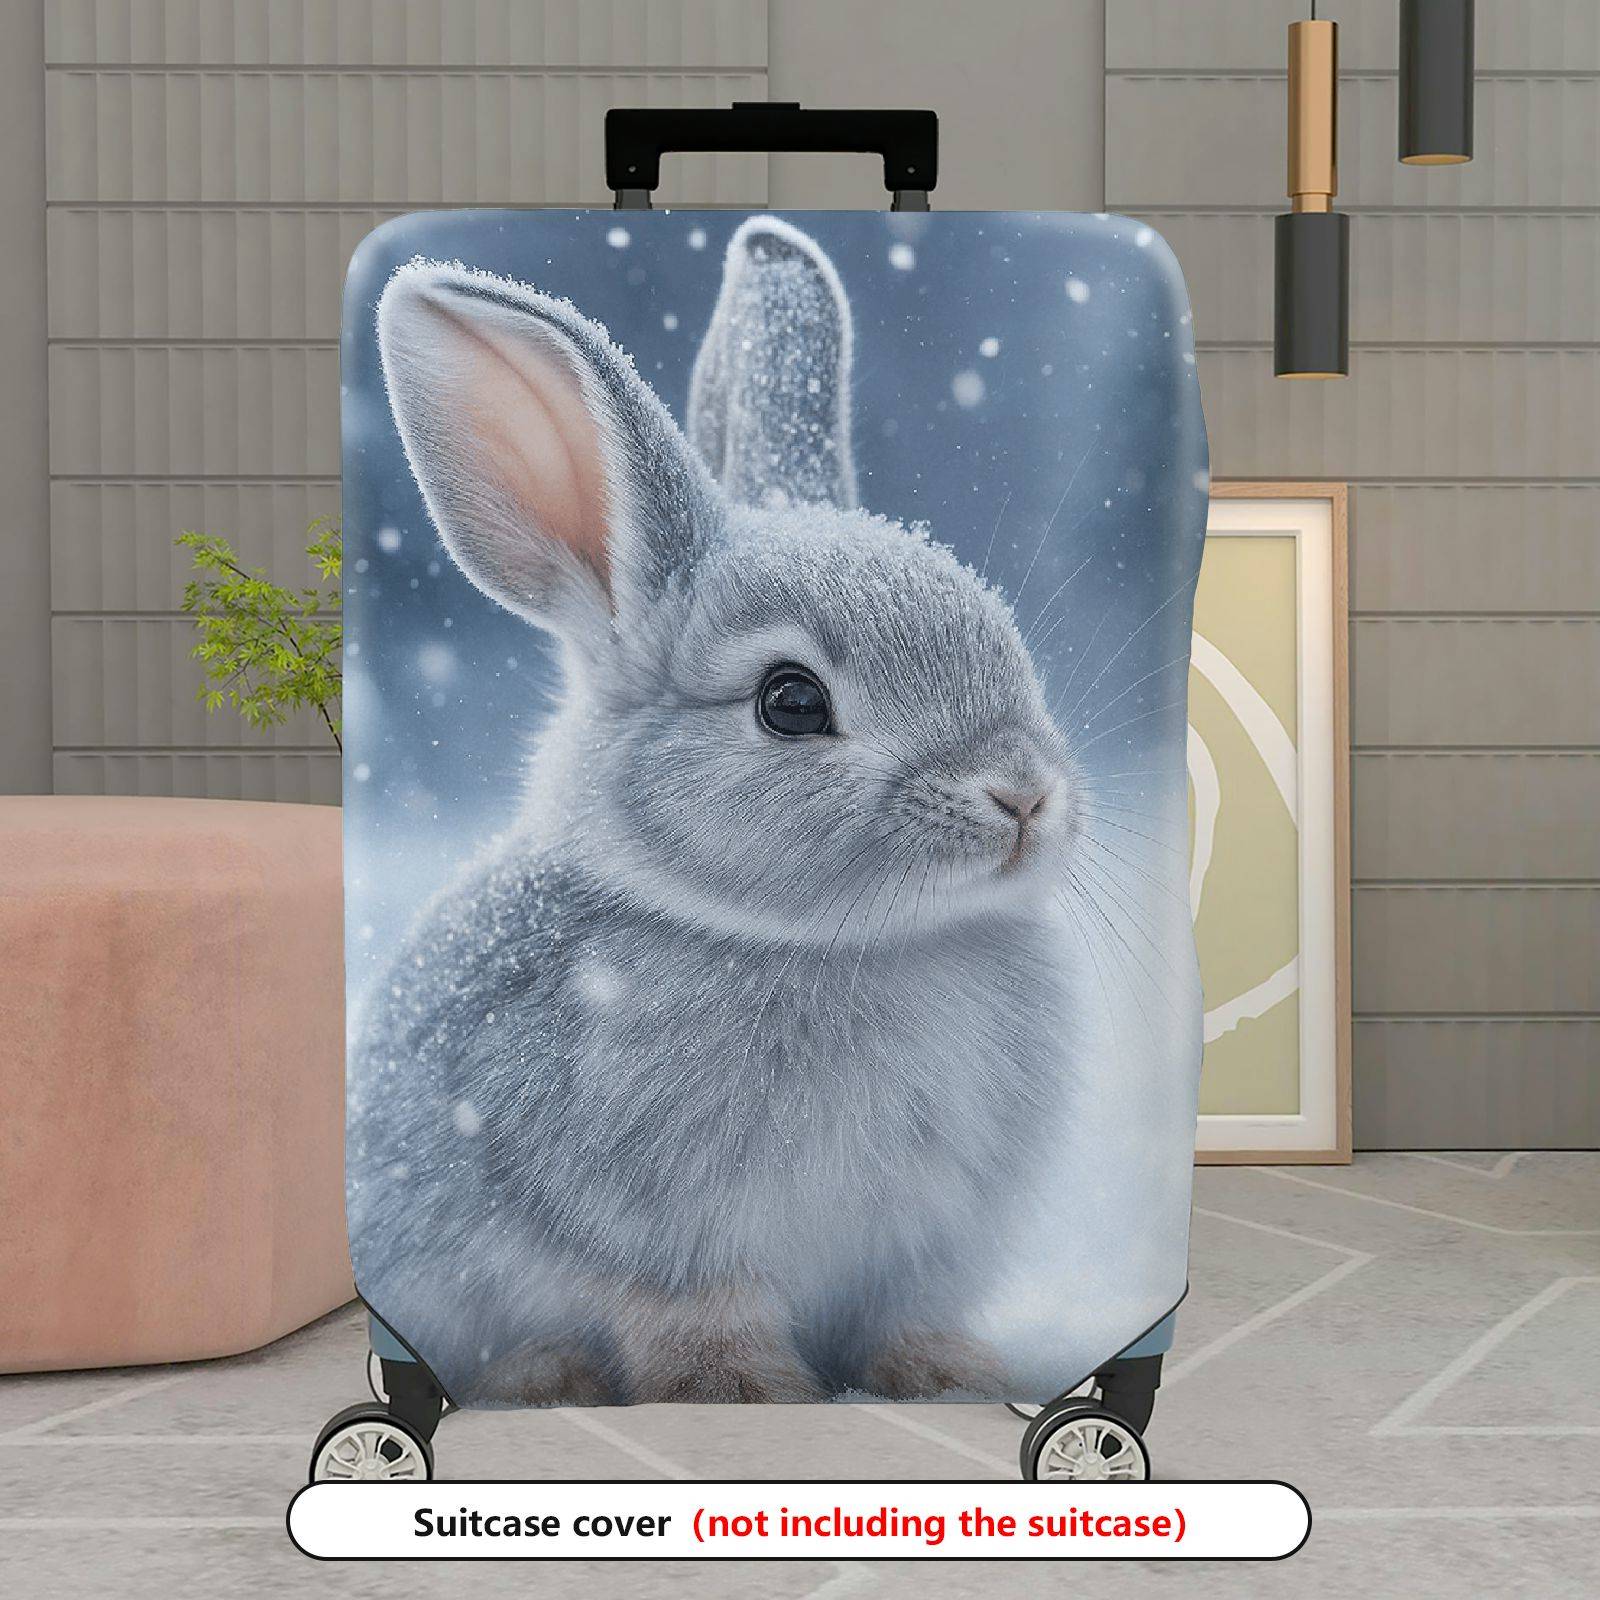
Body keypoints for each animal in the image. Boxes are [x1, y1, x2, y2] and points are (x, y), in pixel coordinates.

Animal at [349, 224, 1083, 1408]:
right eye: (791, 701)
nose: (1021, 794)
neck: (849, 944)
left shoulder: (919, 1249)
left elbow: (907, 1317)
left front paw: (950, 1377)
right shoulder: (650, 1238)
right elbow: (693, 1324)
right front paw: (750, 1396)